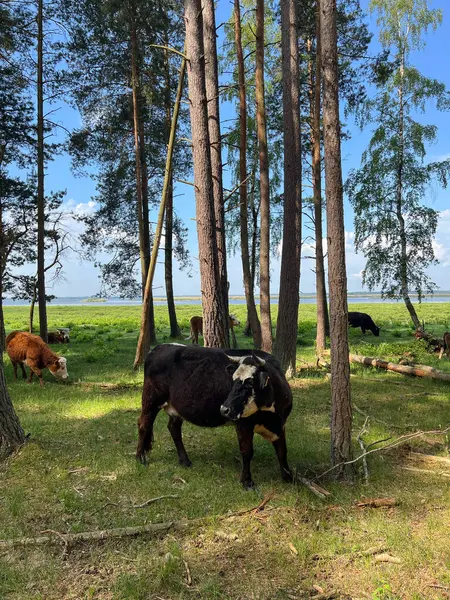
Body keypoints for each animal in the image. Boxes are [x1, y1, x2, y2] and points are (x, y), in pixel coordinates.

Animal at [135, 344, 294, 490]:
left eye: (250, 383)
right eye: (233, 380)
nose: (224, 409)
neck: (272, 416)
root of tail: (159, 347)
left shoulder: (281, 425)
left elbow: (282, 451)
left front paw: (288, 477)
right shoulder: (243, 424)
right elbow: (247, 452)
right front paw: (247, 482)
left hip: (176, 408)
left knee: (173, 428)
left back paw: (185, 460)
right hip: (150, 400)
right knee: (143, 424)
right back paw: (140, 457)